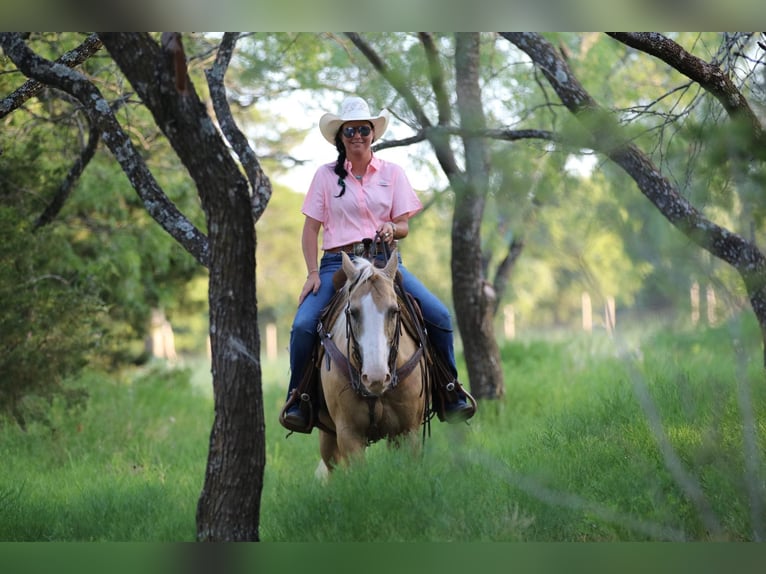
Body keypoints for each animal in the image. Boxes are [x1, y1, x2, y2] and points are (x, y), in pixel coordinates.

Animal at [314, 250, 432, 474]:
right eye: (352, 312)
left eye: (394, 310)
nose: (375, 378)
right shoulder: (349, 434)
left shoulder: (408, 432)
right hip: (328, 439)